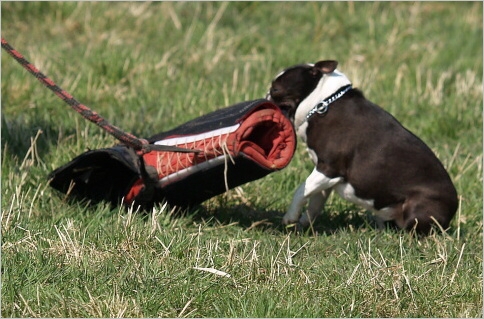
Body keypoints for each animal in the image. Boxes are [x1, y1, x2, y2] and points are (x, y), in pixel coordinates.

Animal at [266, 60, 460, 235]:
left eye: (275, 89)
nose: (266, 95)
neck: (323, 102)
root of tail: (454, 208)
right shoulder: (324, 178)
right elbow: (314, 202)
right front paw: (304, 223)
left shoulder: (329, 169)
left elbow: (301, 190)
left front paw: (290, 217)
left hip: (418, 208)